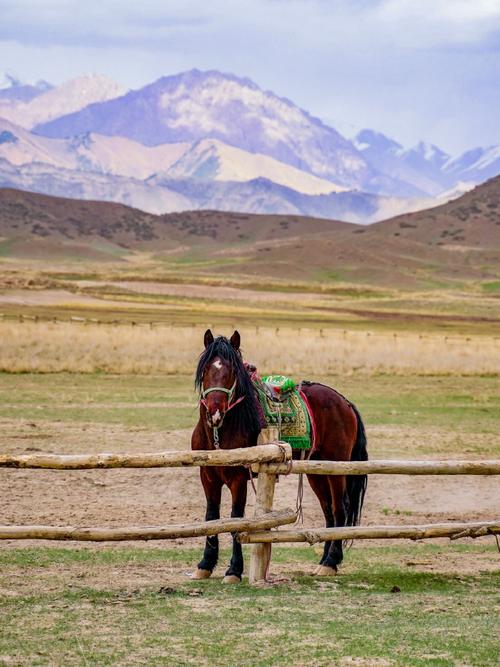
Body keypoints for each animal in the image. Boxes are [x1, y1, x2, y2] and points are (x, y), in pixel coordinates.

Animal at [191, 332, 368, 580]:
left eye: (232, 370)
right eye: (206, 368)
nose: (215, 411)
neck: (220, 432)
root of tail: (344, 402)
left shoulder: (238, 479)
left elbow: (236, 519)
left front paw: (234, 570)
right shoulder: (207, 476)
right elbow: (212, 517)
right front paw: (205, 565)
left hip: (337, 468)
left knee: (339, 509)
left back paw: (331, 562)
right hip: (317, 471)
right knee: (328, 510)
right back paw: (323, 561)